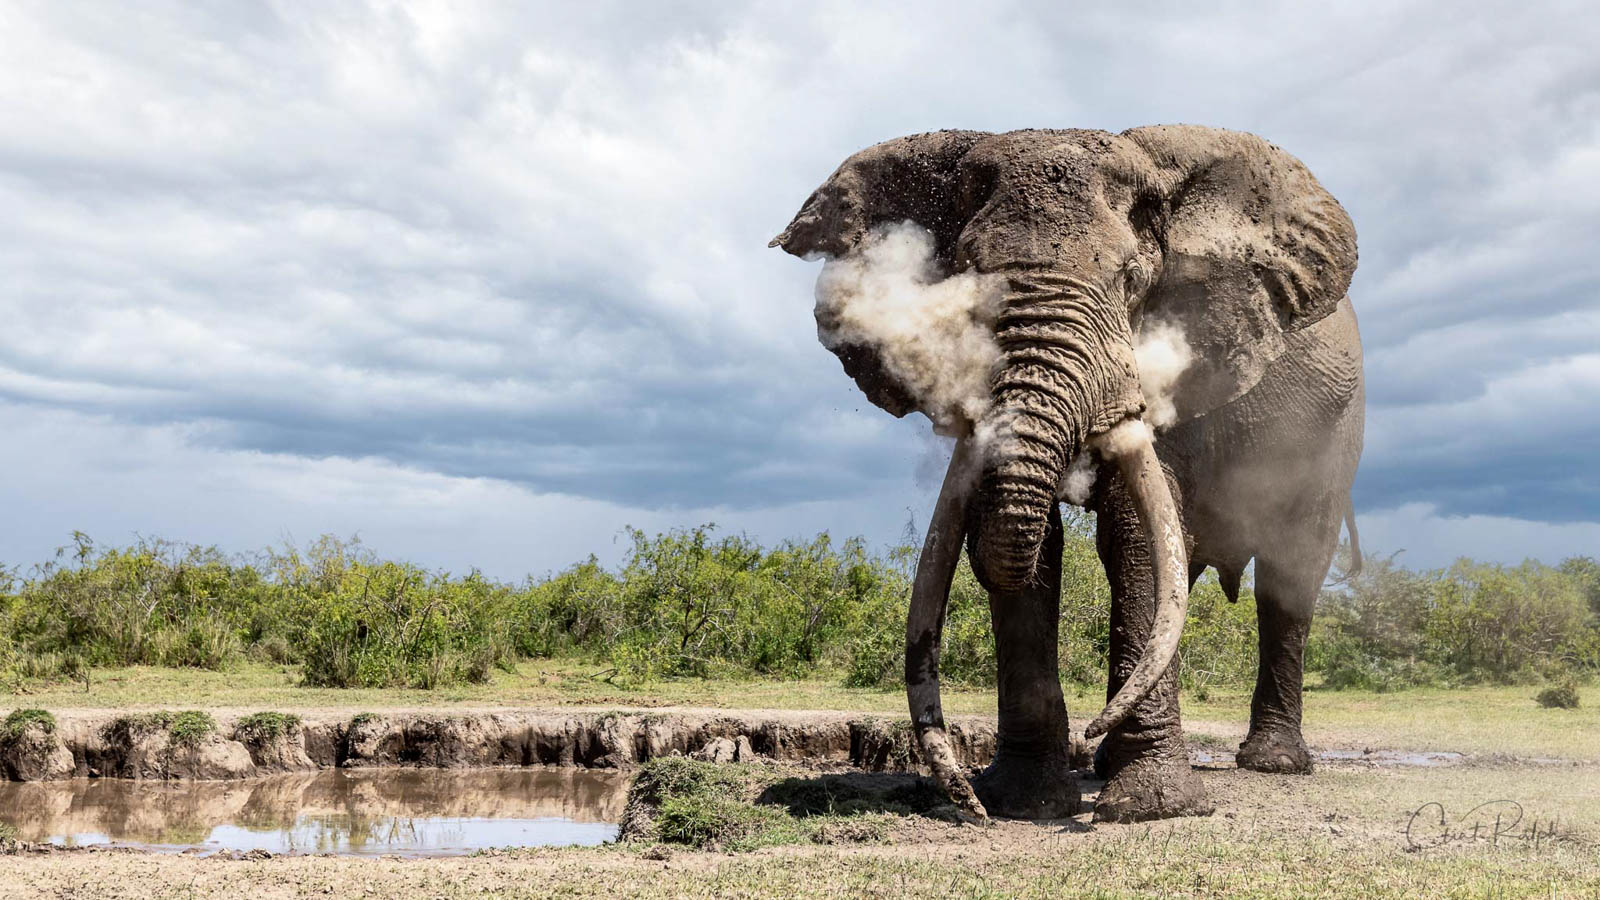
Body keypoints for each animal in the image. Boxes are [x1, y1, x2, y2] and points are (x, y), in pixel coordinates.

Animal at [774, 124, 1363, 819]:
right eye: (964, 278)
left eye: (1132, 280)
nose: (964, 802)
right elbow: (1018, 534)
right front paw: (1021, 802)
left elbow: (1132, 530)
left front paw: (1150, 808)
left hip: (1336, 435)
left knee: (1290, 575)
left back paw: (1272, 763)